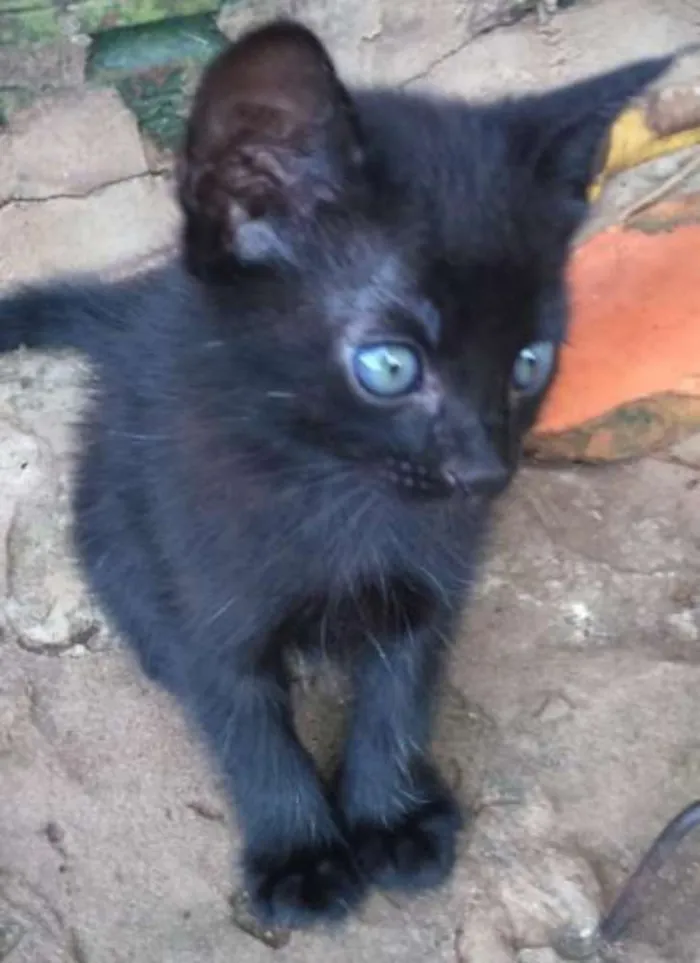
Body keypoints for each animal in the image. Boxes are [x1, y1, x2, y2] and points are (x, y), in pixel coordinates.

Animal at [0, 20, 668, 928]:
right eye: (389, 366)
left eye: (530, 361)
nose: (483, 472)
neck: (337, 494)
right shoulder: (201, 571)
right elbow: (241, 710)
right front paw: (302, 852)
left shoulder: (437, 571)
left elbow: (402, 683)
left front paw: (391, 816)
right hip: (114, 510)